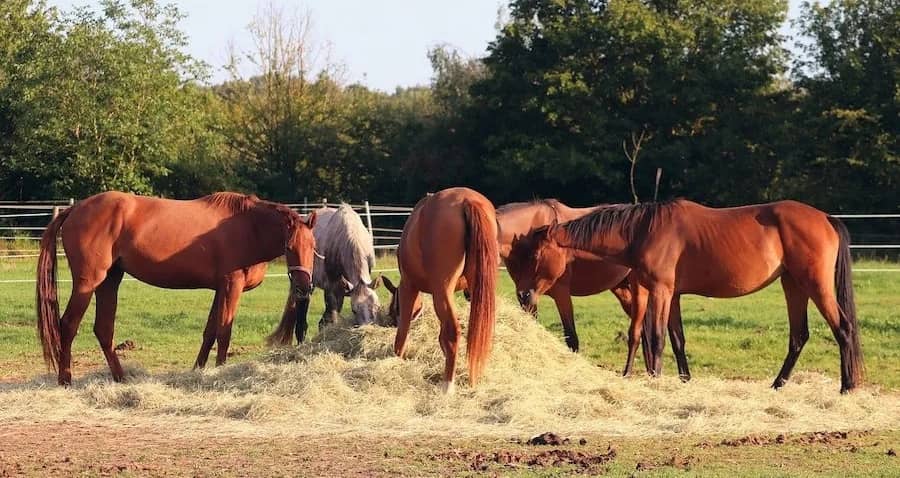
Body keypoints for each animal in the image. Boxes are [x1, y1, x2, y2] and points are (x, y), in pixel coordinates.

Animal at [36, 191, 317, 386]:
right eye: (289, 247)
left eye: (313, 246)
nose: (304, 287)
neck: (248, 226)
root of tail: (75, 208)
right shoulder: (231, 285)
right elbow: (224, 333)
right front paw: (220, 371)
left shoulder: (219, 289)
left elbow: (210, 332)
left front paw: (199, 371)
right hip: (88, 282)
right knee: (68, 325)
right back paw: (65, 381)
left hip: (110, 281)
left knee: (104, 330)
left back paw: (121, 378)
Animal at [267, 203, 381, 345]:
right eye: (354, 310)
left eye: (376, 306)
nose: (367, 330)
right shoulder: (331, 288)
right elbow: (329, 320)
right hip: (305, 287)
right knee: (302, 322)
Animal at [385, 187, 498, 393]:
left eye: (393, 310)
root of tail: (467, 200)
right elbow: (442, 334)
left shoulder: (408, 286)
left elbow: (403, 331)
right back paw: (472, 379)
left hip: (441, 289)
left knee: (454, 332)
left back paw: (448, 386)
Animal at [501, 199, 691, 379]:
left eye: (536, 256)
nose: (523, 293)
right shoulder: (528, 299)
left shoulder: (560, 294)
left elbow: (571, 338)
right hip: (623, 290)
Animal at [532, 199, 863, 393]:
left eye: (535, 255)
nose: (526, 293)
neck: (643, 229)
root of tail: (826, 218)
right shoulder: (672, 295)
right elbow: (675, 339)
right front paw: (683, 380)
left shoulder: (661, 291)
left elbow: (657, 337)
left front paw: (656, 379)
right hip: (792, 284)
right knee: (799, 336)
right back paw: (777, 385)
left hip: (815, 285)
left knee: (843, 329)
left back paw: (846, 387)